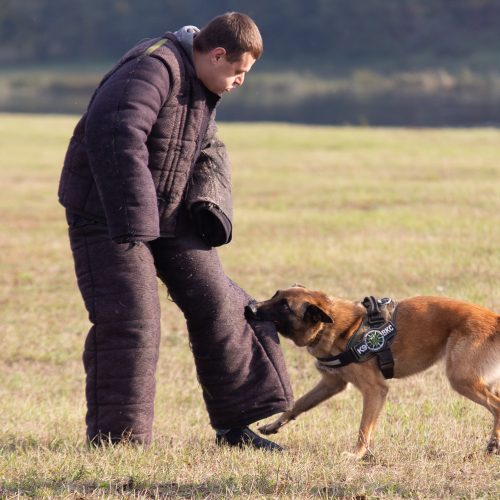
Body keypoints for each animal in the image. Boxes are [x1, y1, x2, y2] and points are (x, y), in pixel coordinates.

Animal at [246, 286, 500, 458]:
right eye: (275, 295)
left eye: (285, 306)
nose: (250, 307)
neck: (333, 327)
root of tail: (495, 319)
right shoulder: (331, 384)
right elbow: (298, 405)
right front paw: (273, 425)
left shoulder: (375, 390)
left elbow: (364, 427)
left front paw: (357, 454)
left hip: (461, 378)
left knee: (496, 406)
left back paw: (493, 444)